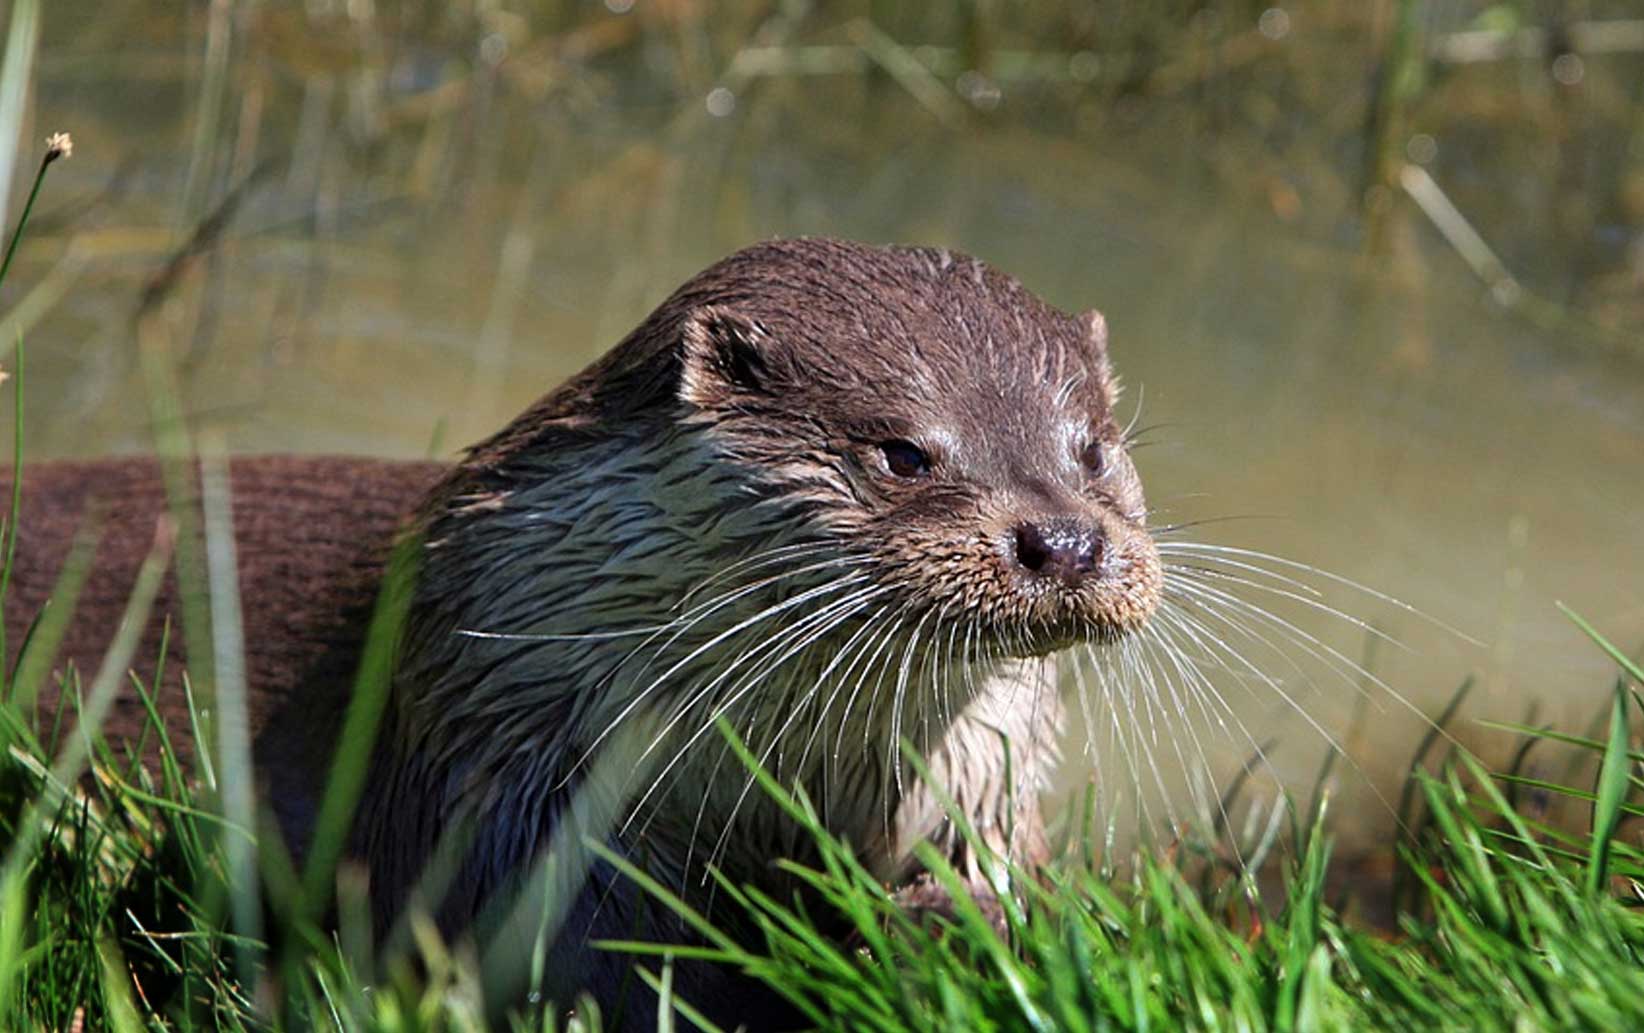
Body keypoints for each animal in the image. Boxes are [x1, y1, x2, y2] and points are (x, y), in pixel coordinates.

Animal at [3, 240, 1157, 1026]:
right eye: (905, 454)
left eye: (1092, 450)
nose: (1063, 539)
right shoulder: (501, 770)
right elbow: (571, 953)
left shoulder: (980, 777)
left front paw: (964, 928)